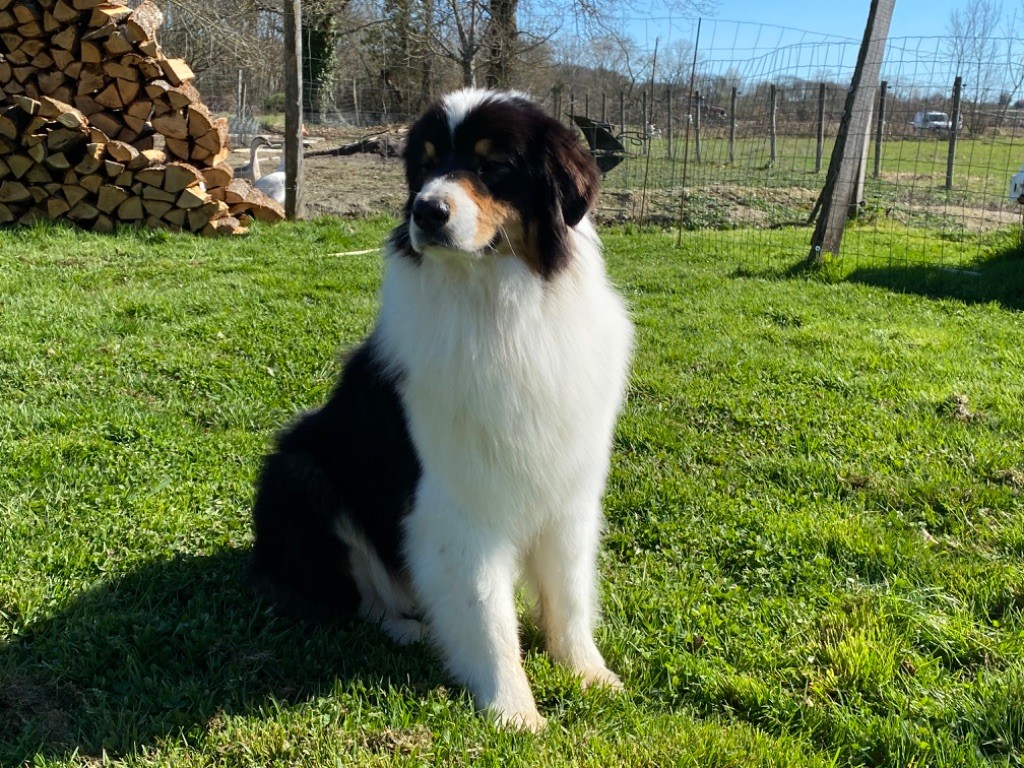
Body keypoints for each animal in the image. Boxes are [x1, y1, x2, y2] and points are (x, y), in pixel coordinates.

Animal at [250, 88, 634, 731]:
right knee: (360, 600)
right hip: (298, 471)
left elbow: (571, 592)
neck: (499, 304)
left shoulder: (569, 487)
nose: (427, 212)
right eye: (426, 166)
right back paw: (409, 629)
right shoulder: (456, 502)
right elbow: (485, 611)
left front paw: (587, 673)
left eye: (493, 163)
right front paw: (513, 711)